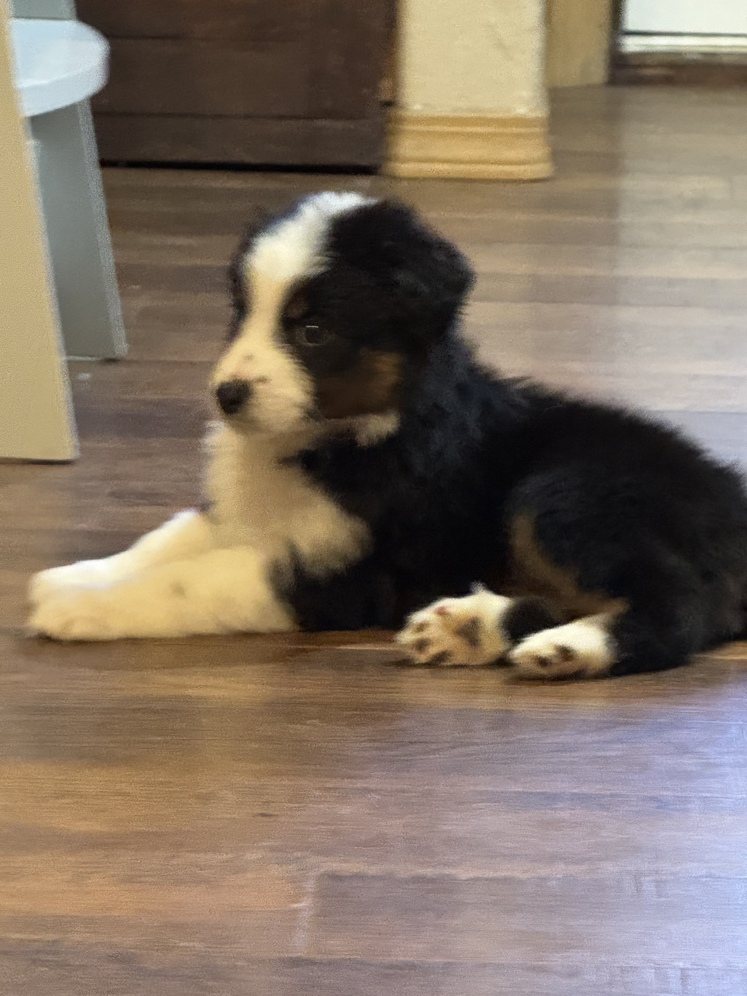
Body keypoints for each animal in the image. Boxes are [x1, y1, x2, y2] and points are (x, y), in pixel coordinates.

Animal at [28, 192, 747, 680]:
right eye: (241, 313)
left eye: (312, 329)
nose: (226, 395)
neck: (336, 440)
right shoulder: (248, 517)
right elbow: (168, 539)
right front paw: (74, 576)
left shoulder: (356, 571)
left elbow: (194, 582)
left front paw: (81, 608)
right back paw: (469, 629)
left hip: (567, 494)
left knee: (678, 610)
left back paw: (565, 649)